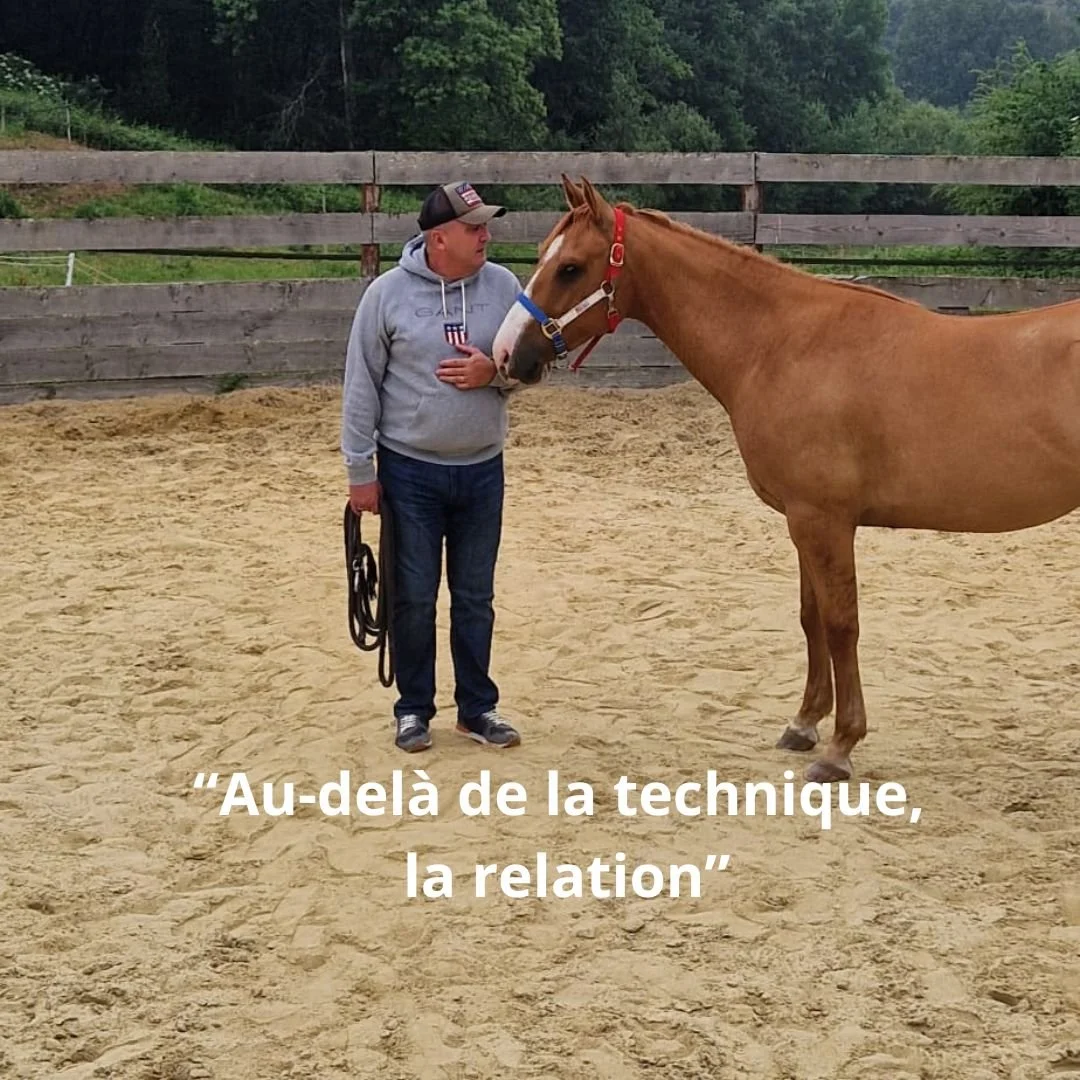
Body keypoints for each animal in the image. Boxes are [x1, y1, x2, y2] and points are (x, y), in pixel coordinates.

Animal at [491, 174, 1080, 783]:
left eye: (571, 268)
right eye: (543, 254)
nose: (506, 354)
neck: (786, 345)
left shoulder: (825, 521)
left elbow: (842, 624)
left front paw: (841, 747)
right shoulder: (803, 522)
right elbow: (810, 617)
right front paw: (804, 724)